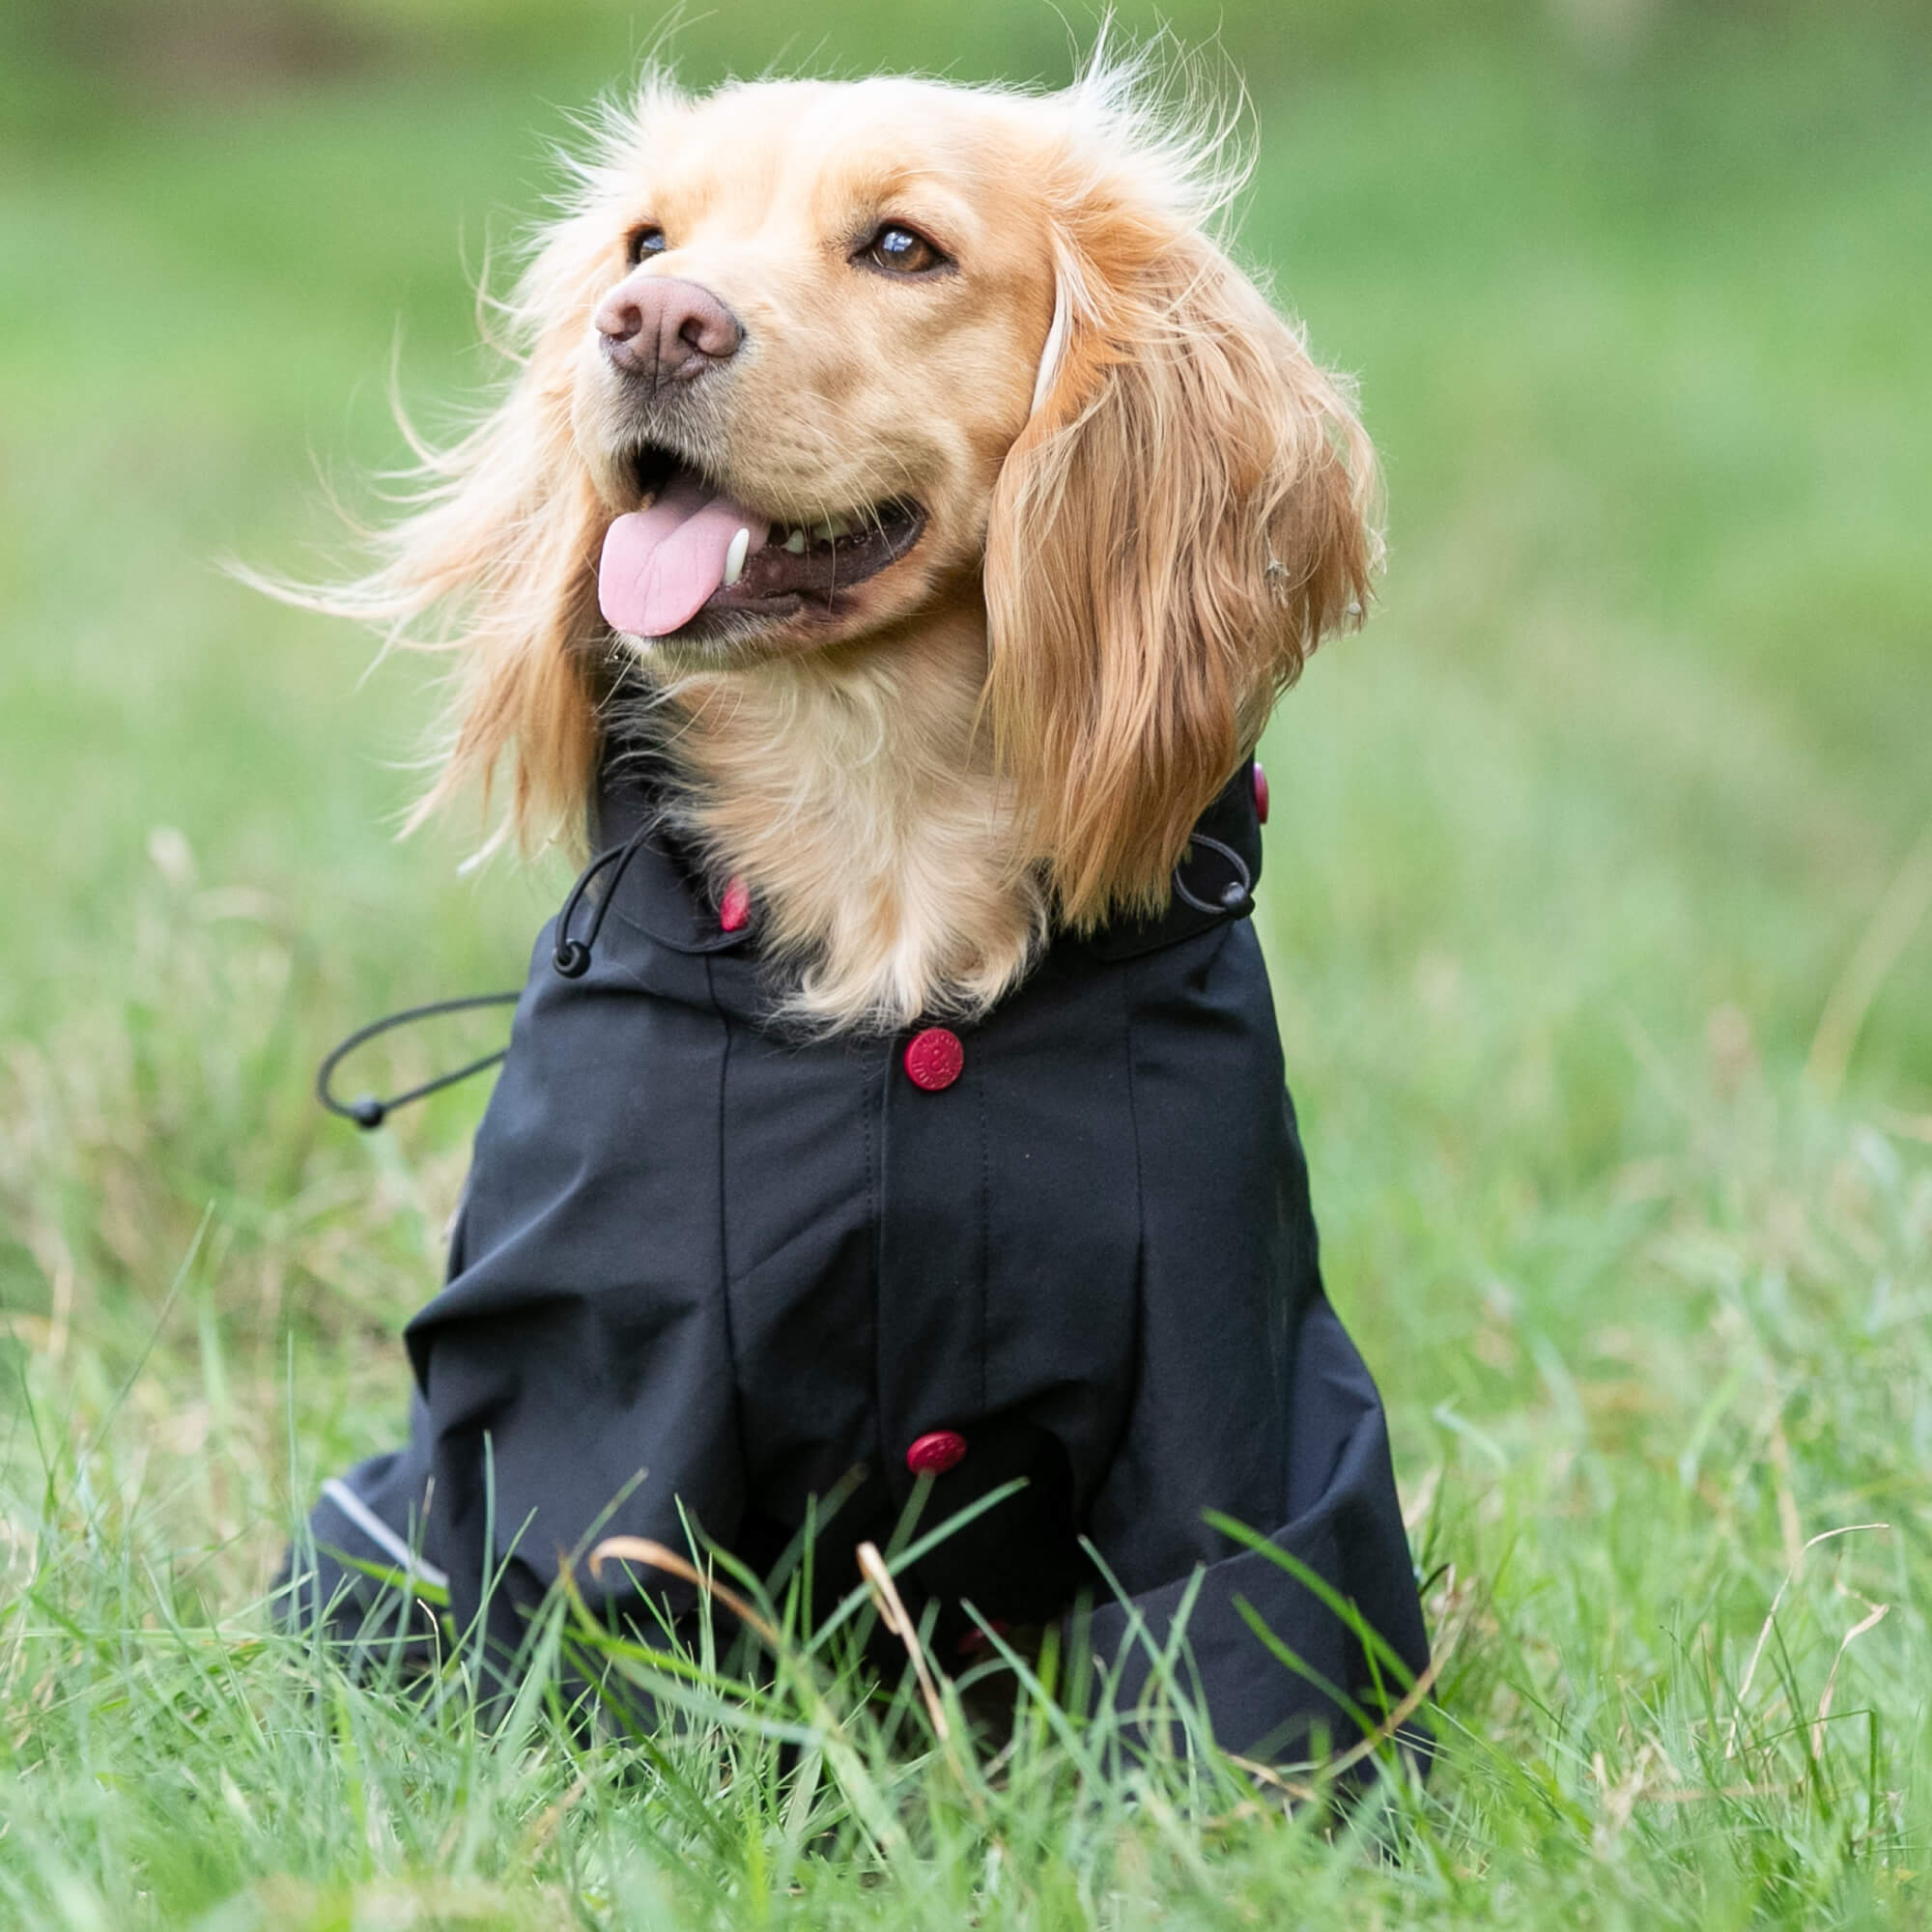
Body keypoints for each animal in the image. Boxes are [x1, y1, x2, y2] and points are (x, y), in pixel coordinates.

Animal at [290, 60, 1437, 1762]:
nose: (651, 323)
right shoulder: (596, 1379)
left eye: (902, 248)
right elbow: (593, 1621)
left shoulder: (1227, 1361)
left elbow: (1240, 1622)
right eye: (646, 241)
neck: (875, 811)